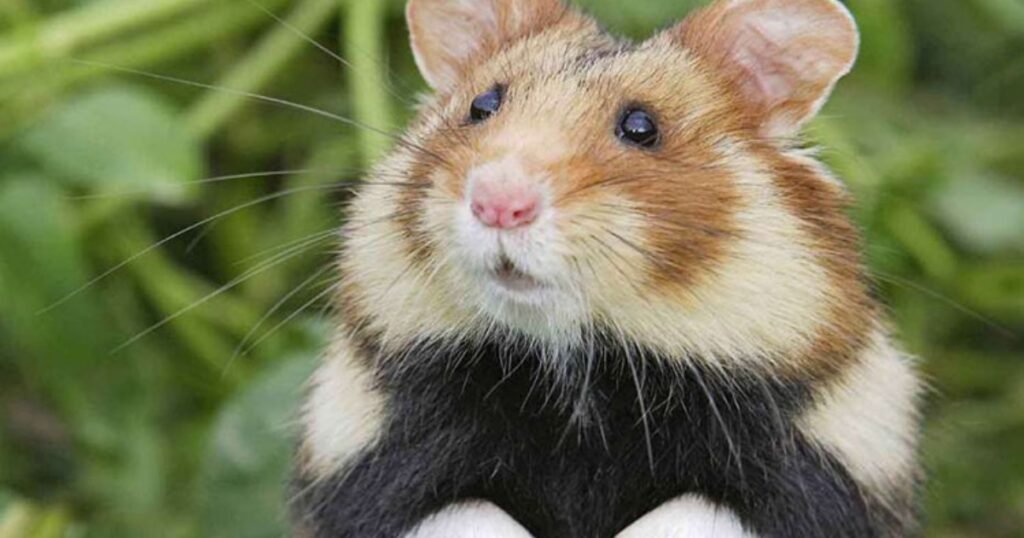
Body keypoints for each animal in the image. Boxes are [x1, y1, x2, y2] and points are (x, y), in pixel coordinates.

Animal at [290, 0, 923, 536]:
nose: (498, 202)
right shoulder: (386, 460)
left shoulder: (799, 468)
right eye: (481, 106)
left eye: (641, 127)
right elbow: (469, 514)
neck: (576, 366)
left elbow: (687, 514)